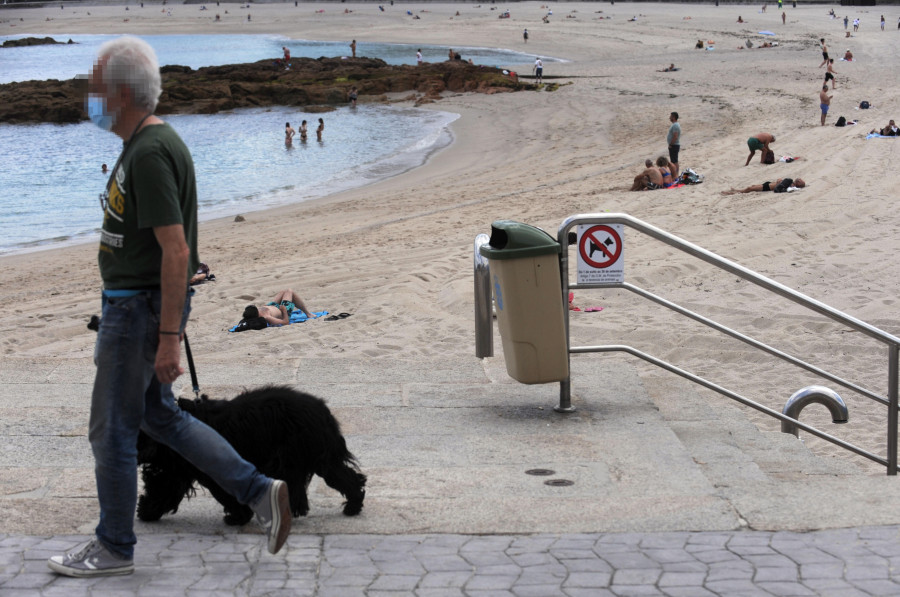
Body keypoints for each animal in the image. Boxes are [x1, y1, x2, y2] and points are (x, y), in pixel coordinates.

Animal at [136, 384, 366, 524]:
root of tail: (323, 411)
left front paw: (237, 517)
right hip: (320, 459)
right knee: (347, 478)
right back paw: (352, 506)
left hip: (295, 458)